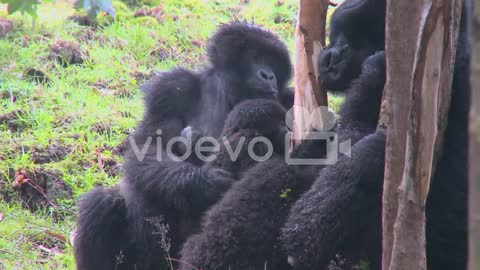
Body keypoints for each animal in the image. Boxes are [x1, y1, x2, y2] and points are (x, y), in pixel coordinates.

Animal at [74, 21, 292, 270]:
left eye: (273, 61)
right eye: (256, 55)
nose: (269, 75)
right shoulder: (170, 88)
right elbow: (149, 146)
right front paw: (198, 182)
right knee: (101, 203)